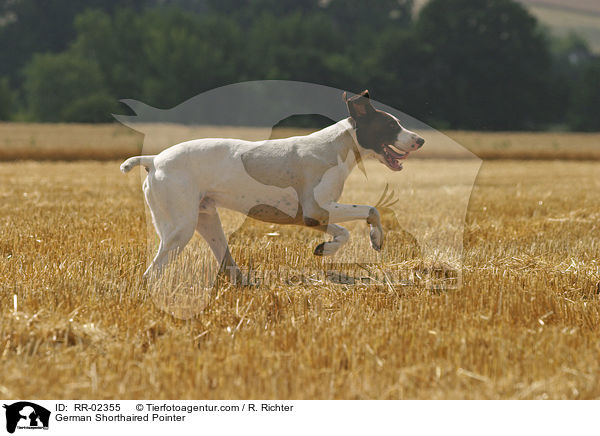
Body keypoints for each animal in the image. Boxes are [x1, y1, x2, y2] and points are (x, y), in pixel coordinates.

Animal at [120, 91, 422, 282]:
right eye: (390, 125)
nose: (420, 140)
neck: (337, 146)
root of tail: (154, 160)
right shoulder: (317, 208)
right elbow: (371, 210)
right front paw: (376, 238)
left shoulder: (311, 216)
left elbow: (344, 232)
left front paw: (328, 248)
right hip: (180, 230)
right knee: (151, 273)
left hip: (207, 220)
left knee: (228, 266)